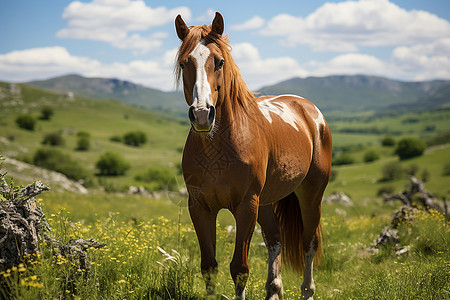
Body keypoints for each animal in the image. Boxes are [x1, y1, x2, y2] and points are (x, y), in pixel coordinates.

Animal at [174, 11, 332, 300]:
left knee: (309, 243)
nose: (202, 114)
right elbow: (209, 266)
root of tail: (310, 111)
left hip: (310, 194)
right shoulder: (200, 207)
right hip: (266, 202)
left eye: (220, 61)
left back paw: (307, 290)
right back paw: (273, 289)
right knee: (275, 240)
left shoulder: (246, 206)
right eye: (184, 63)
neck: (218, 148)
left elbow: (239, 268)